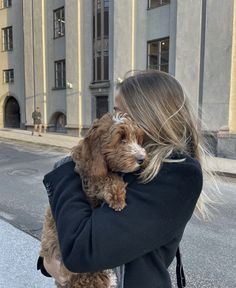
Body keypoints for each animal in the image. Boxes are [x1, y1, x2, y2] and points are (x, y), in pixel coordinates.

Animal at [39, 112, 146, 288]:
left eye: (136, 139)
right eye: (121, 139)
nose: (142, 159)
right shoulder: (89, 178)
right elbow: (107, 178)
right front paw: (117, 197)